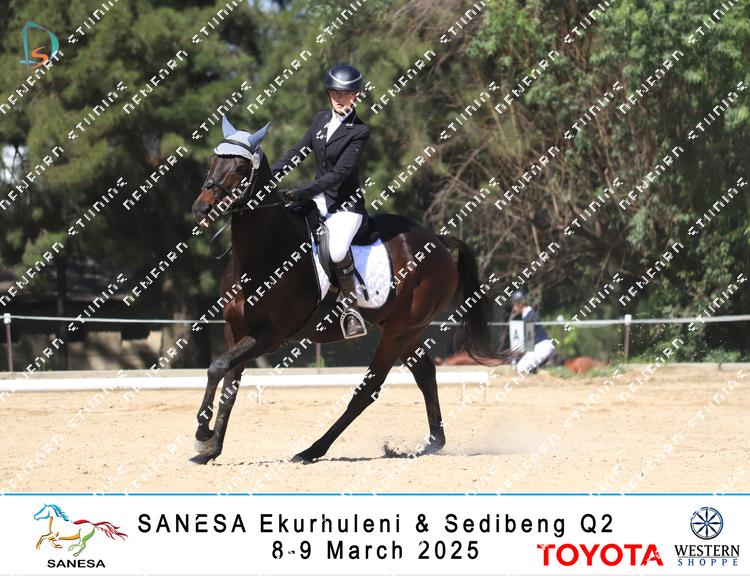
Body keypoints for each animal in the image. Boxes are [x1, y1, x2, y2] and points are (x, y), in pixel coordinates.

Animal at [189, 115, 508, 464]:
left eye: (240, 168)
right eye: (213, 161)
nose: (201, 209)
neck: (265, 253)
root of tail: (436, 242)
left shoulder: (269, 336)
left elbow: (217, 366)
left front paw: (202, 435)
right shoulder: (235, 330)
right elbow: (227, 384)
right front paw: (211, 449)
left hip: (399, 331)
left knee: (367, 390)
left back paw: (312, 450)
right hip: (404, 331)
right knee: (425, 373)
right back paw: (432, 443)